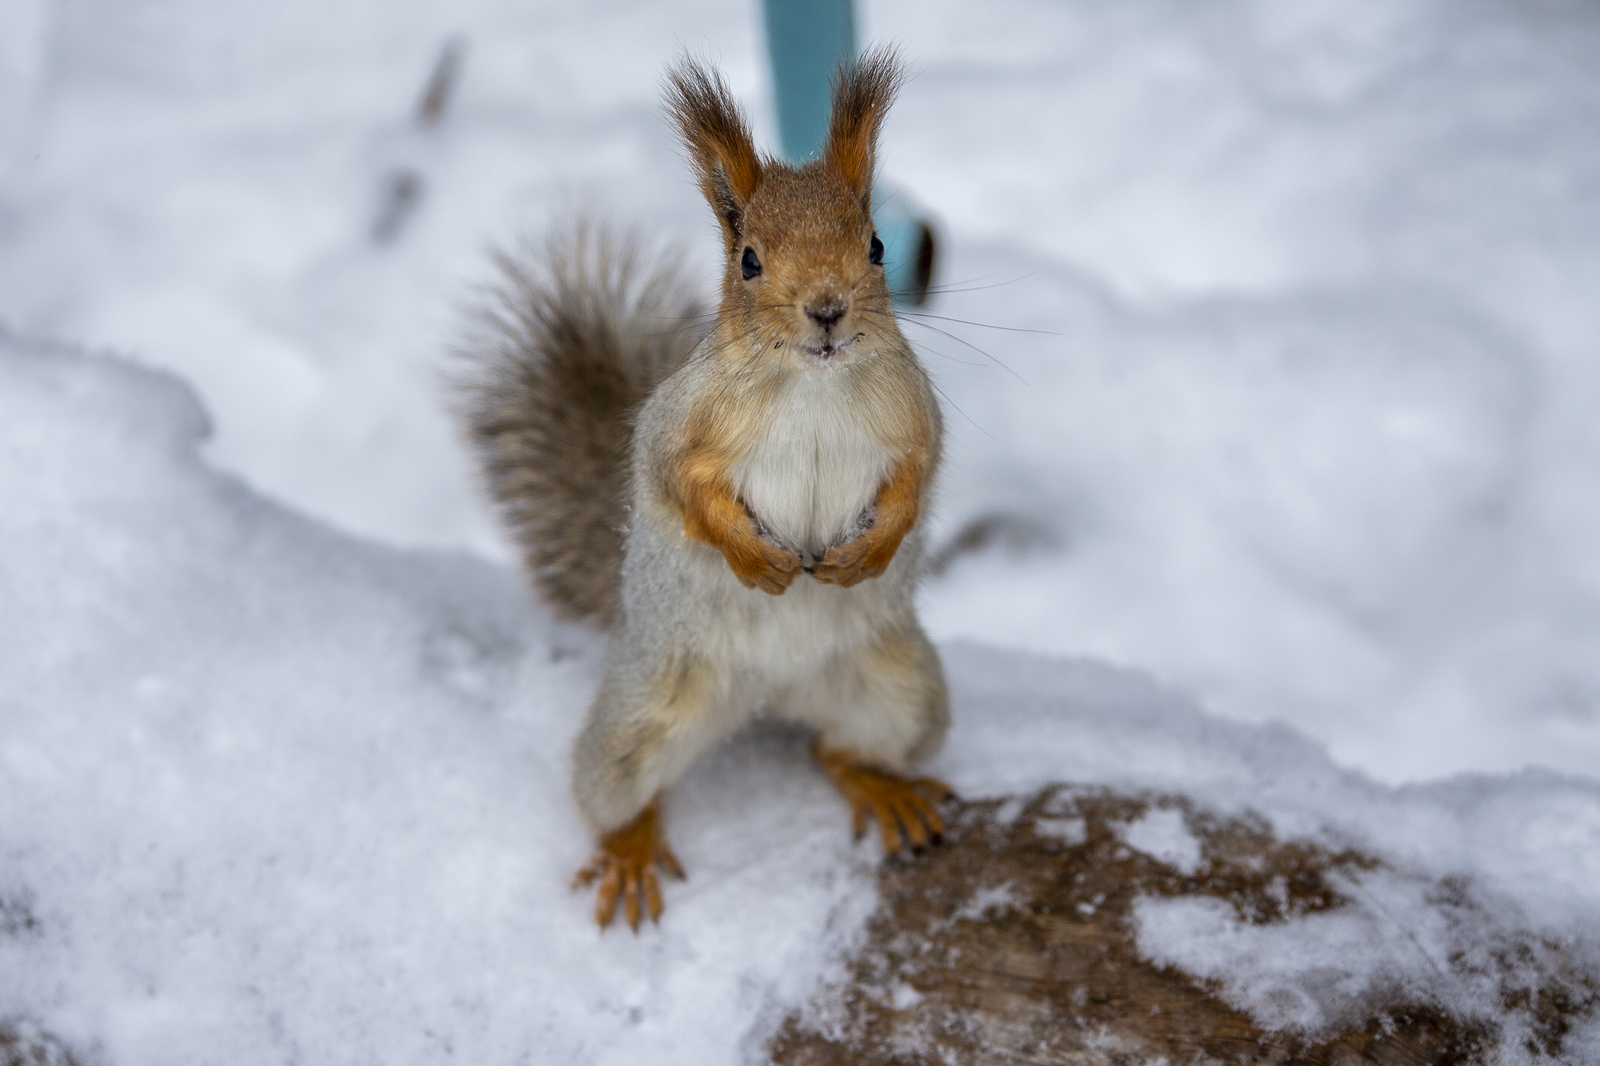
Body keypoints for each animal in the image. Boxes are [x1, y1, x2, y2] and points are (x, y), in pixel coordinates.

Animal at [457, 47, 947, 928]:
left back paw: (882, 786)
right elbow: (680, 489)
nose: (827, 311)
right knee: (613, 788)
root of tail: (772, 694)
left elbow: (917, 478)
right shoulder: (678, 428)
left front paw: (873, 550)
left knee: (837, 749)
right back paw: (629, 848)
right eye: (749, 259)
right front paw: (756, 560)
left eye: (875, 246)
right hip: (641, 718)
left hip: (906, 695)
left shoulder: (916, 417)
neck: (811, 383)